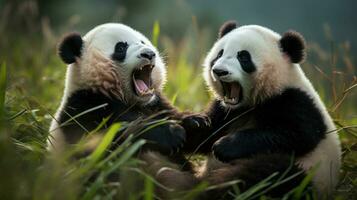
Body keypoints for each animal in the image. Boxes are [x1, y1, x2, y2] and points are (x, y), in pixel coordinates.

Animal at [158, 21, 340, 199]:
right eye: (219, 54)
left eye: (243, 57)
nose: (219, 71)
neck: (251, 103)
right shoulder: (225, 111)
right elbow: (204, 135)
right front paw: (190, 124)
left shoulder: (295, 101)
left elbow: (296, 134)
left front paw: (225, 146)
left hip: (308, 174)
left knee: (268, 173)